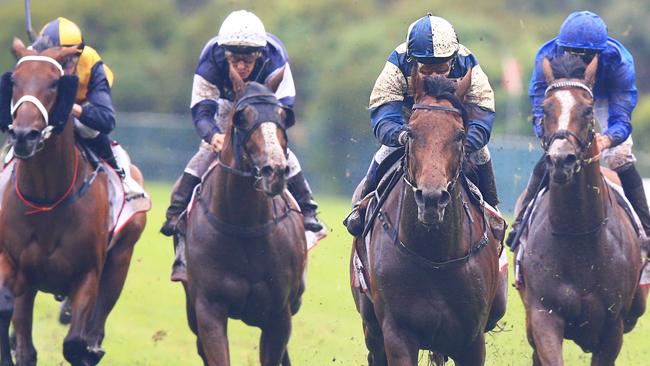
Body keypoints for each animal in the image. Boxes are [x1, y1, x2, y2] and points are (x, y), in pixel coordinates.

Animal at [0, 38, 147, 364]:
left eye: (55, 83)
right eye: (14, 81)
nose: (24, 135)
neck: (46, 196)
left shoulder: (87, 274)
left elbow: (76, 343)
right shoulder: (13, 265)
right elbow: (11, 318)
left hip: (121, 258)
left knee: (95, 327)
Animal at [181, 64, 306, 364]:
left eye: (283, 115)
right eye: (242, 117)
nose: (275, 170)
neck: (243, 225)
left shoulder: (278, 315)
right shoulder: (208, 310)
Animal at [350, 69, 506, 366]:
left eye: (459, 135)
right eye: (411, 133)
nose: (431, 198)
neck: (436, 256)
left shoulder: (472, 340)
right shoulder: (397, 335)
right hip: (372, 329)